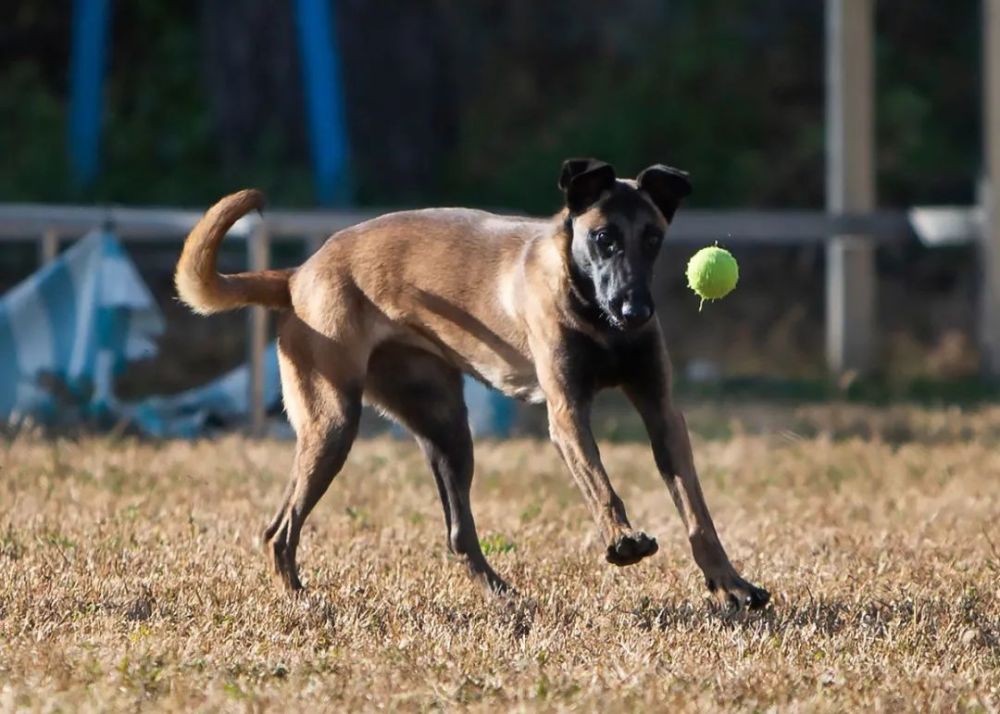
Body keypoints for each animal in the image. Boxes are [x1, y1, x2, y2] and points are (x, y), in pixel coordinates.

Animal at [178, 156, 772, 608]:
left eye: (652, 238)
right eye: (603, 238)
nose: (636, 310)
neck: (596, 318)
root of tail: (298, 276)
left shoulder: (661, 413)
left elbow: (696, 511)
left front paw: (730, 584)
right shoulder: (567, 415)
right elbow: (601, 484)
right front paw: (623, 539)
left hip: (446, 431)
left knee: (459, 533)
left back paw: (505, 596)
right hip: (333, 425)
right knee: (279, 530)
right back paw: (302, 600)